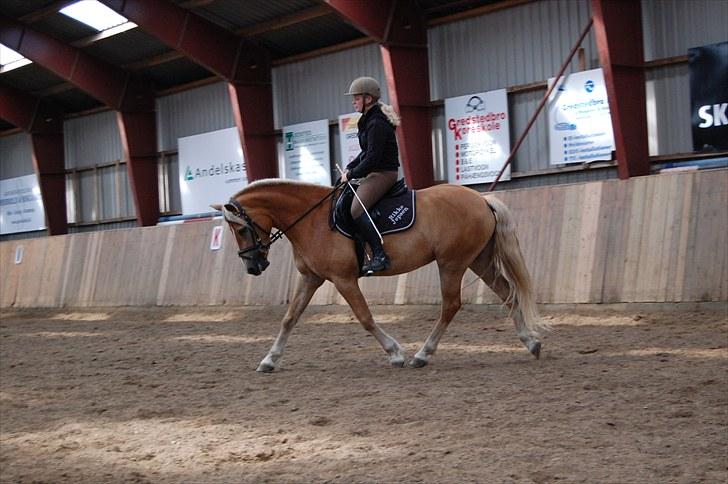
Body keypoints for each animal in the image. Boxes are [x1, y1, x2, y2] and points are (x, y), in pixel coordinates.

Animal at [213, 180, 548, 372]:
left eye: (240, 230)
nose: (253, 267)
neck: (312, 219)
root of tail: (481, 199)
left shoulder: (343, 279)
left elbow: (365, 317)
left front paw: (395, 353)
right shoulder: (311, 278)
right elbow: (289, 318)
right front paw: (269, 360)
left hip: (451, 263)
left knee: (451, 306)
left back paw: (422, 355)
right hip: (478, 260)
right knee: (508, 293)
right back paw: (531, 343)